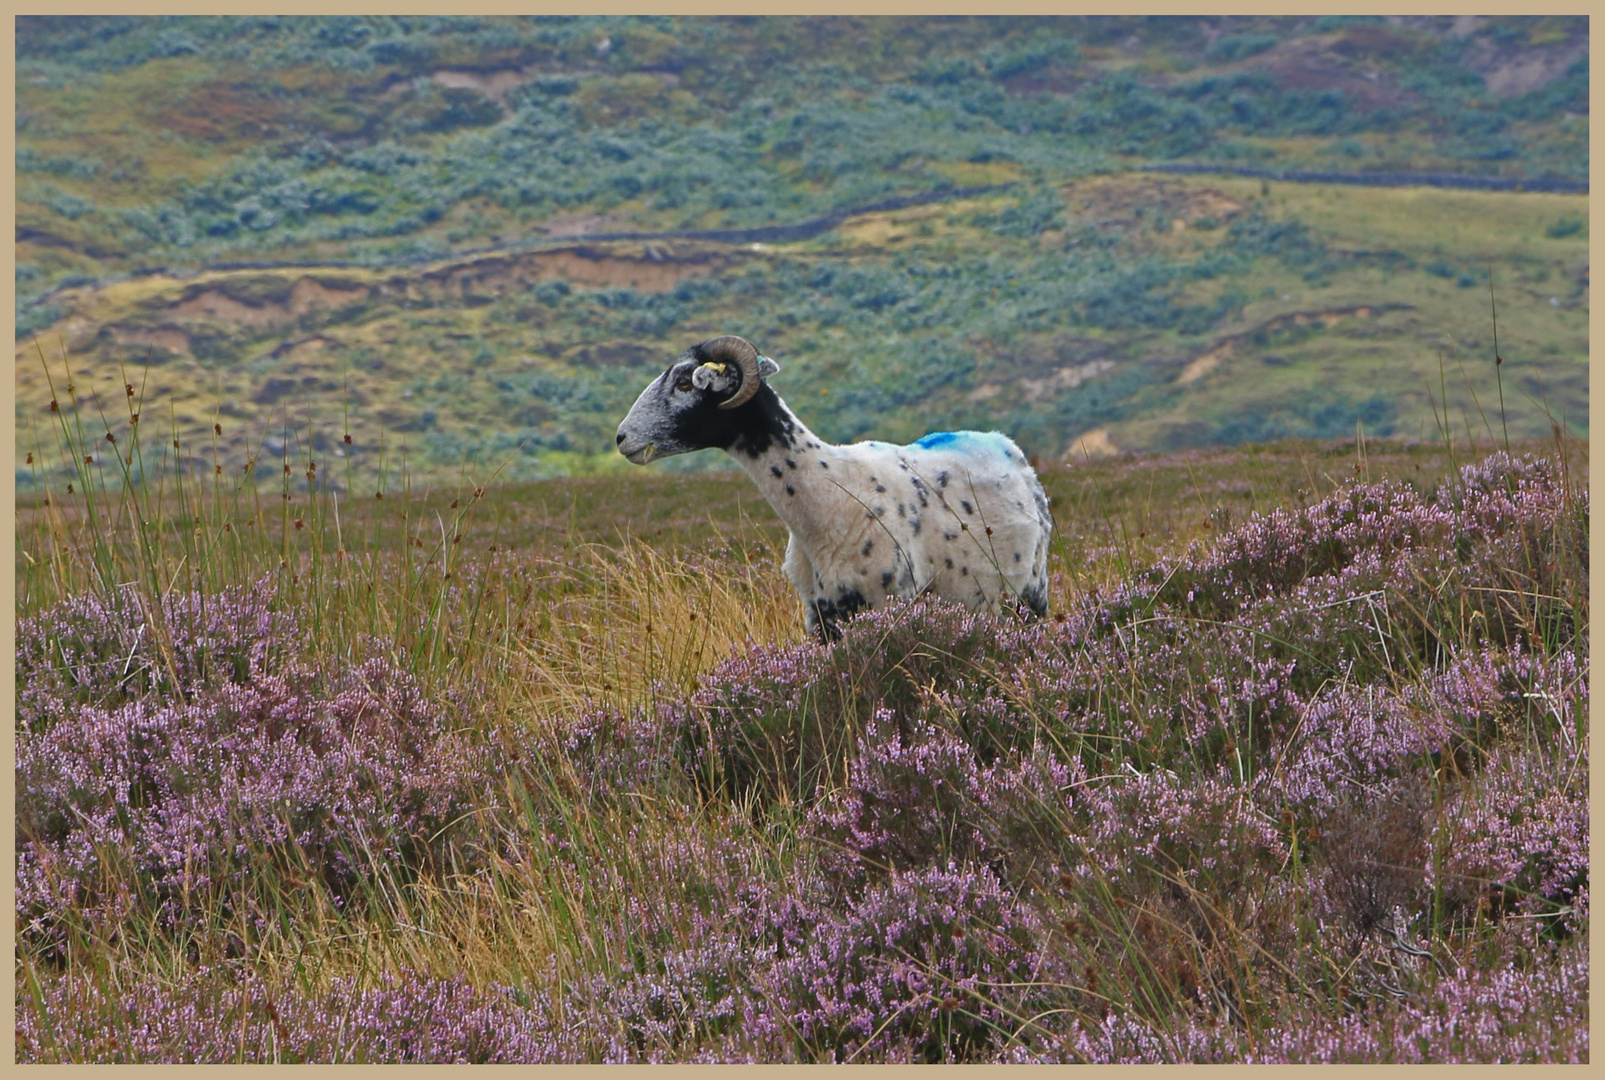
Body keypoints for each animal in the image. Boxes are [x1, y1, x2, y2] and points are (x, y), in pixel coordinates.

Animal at [613, 335, 1052, 641]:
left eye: (685, 383)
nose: (621, 438)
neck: (829, 492)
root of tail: (1006, 445)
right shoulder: (821, 617)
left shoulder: (888, 605)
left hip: (1030, 591)